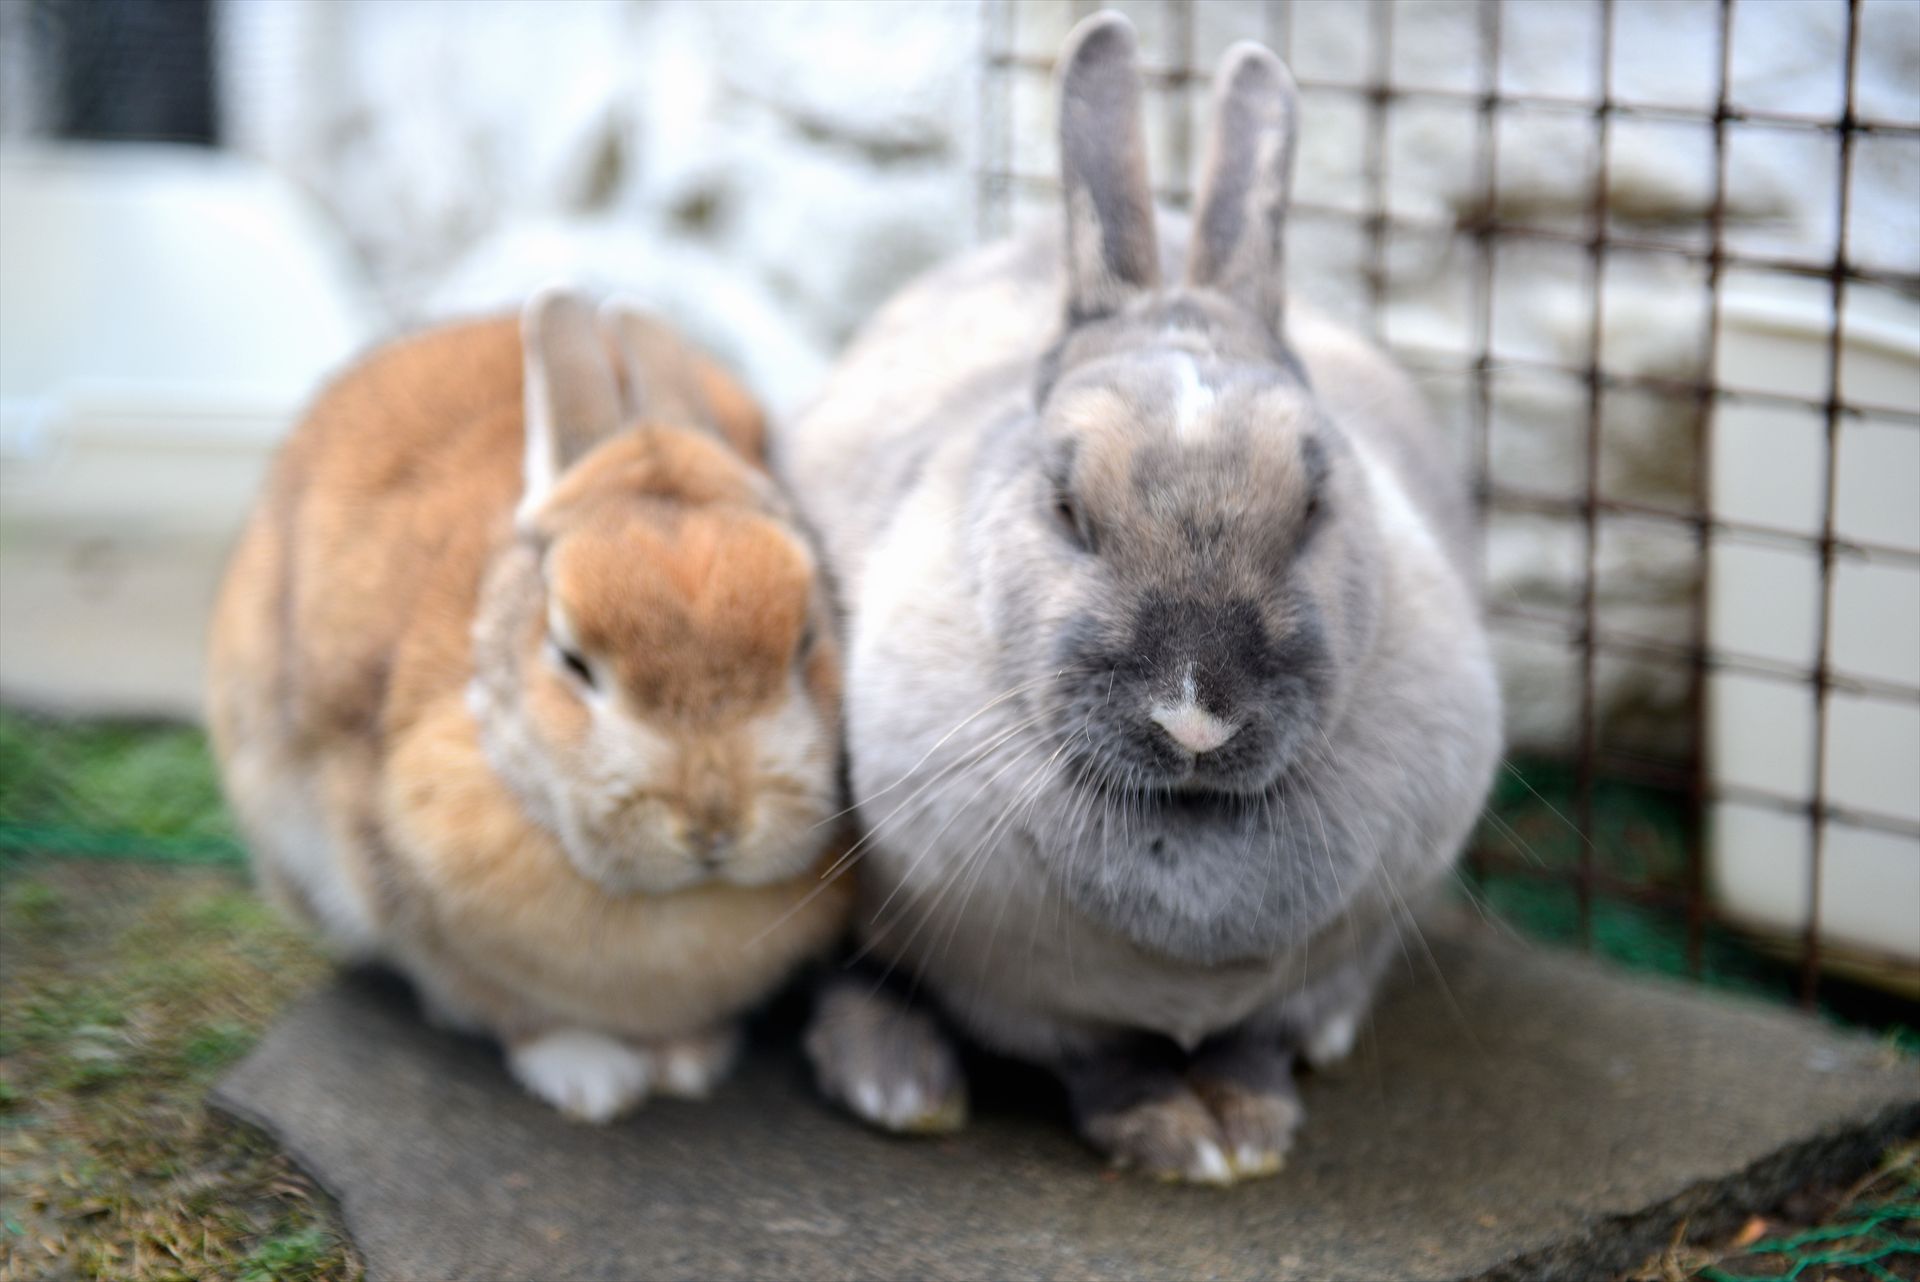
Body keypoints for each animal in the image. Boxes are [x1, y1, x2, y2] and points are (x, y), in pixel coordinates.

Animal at [207, 289, 853, 1123]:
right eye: (572, 659)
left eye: (806, 639)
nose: (715, 825)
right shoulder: (397, 892)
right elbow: (503, 1006)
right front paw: (592, 1083)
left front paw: (689, 1062)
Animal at [780, 12, 1500, 1183]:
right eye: (1067, 508)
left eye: (1315, 503)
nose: (1196, 714)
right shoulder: (1031, 996)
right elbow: (1101, 1059)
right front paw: (1178, 1136)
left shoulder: (1302, 969)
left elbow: (1258, 1039)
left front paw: (1249, 1126)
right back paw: (898, 1083)